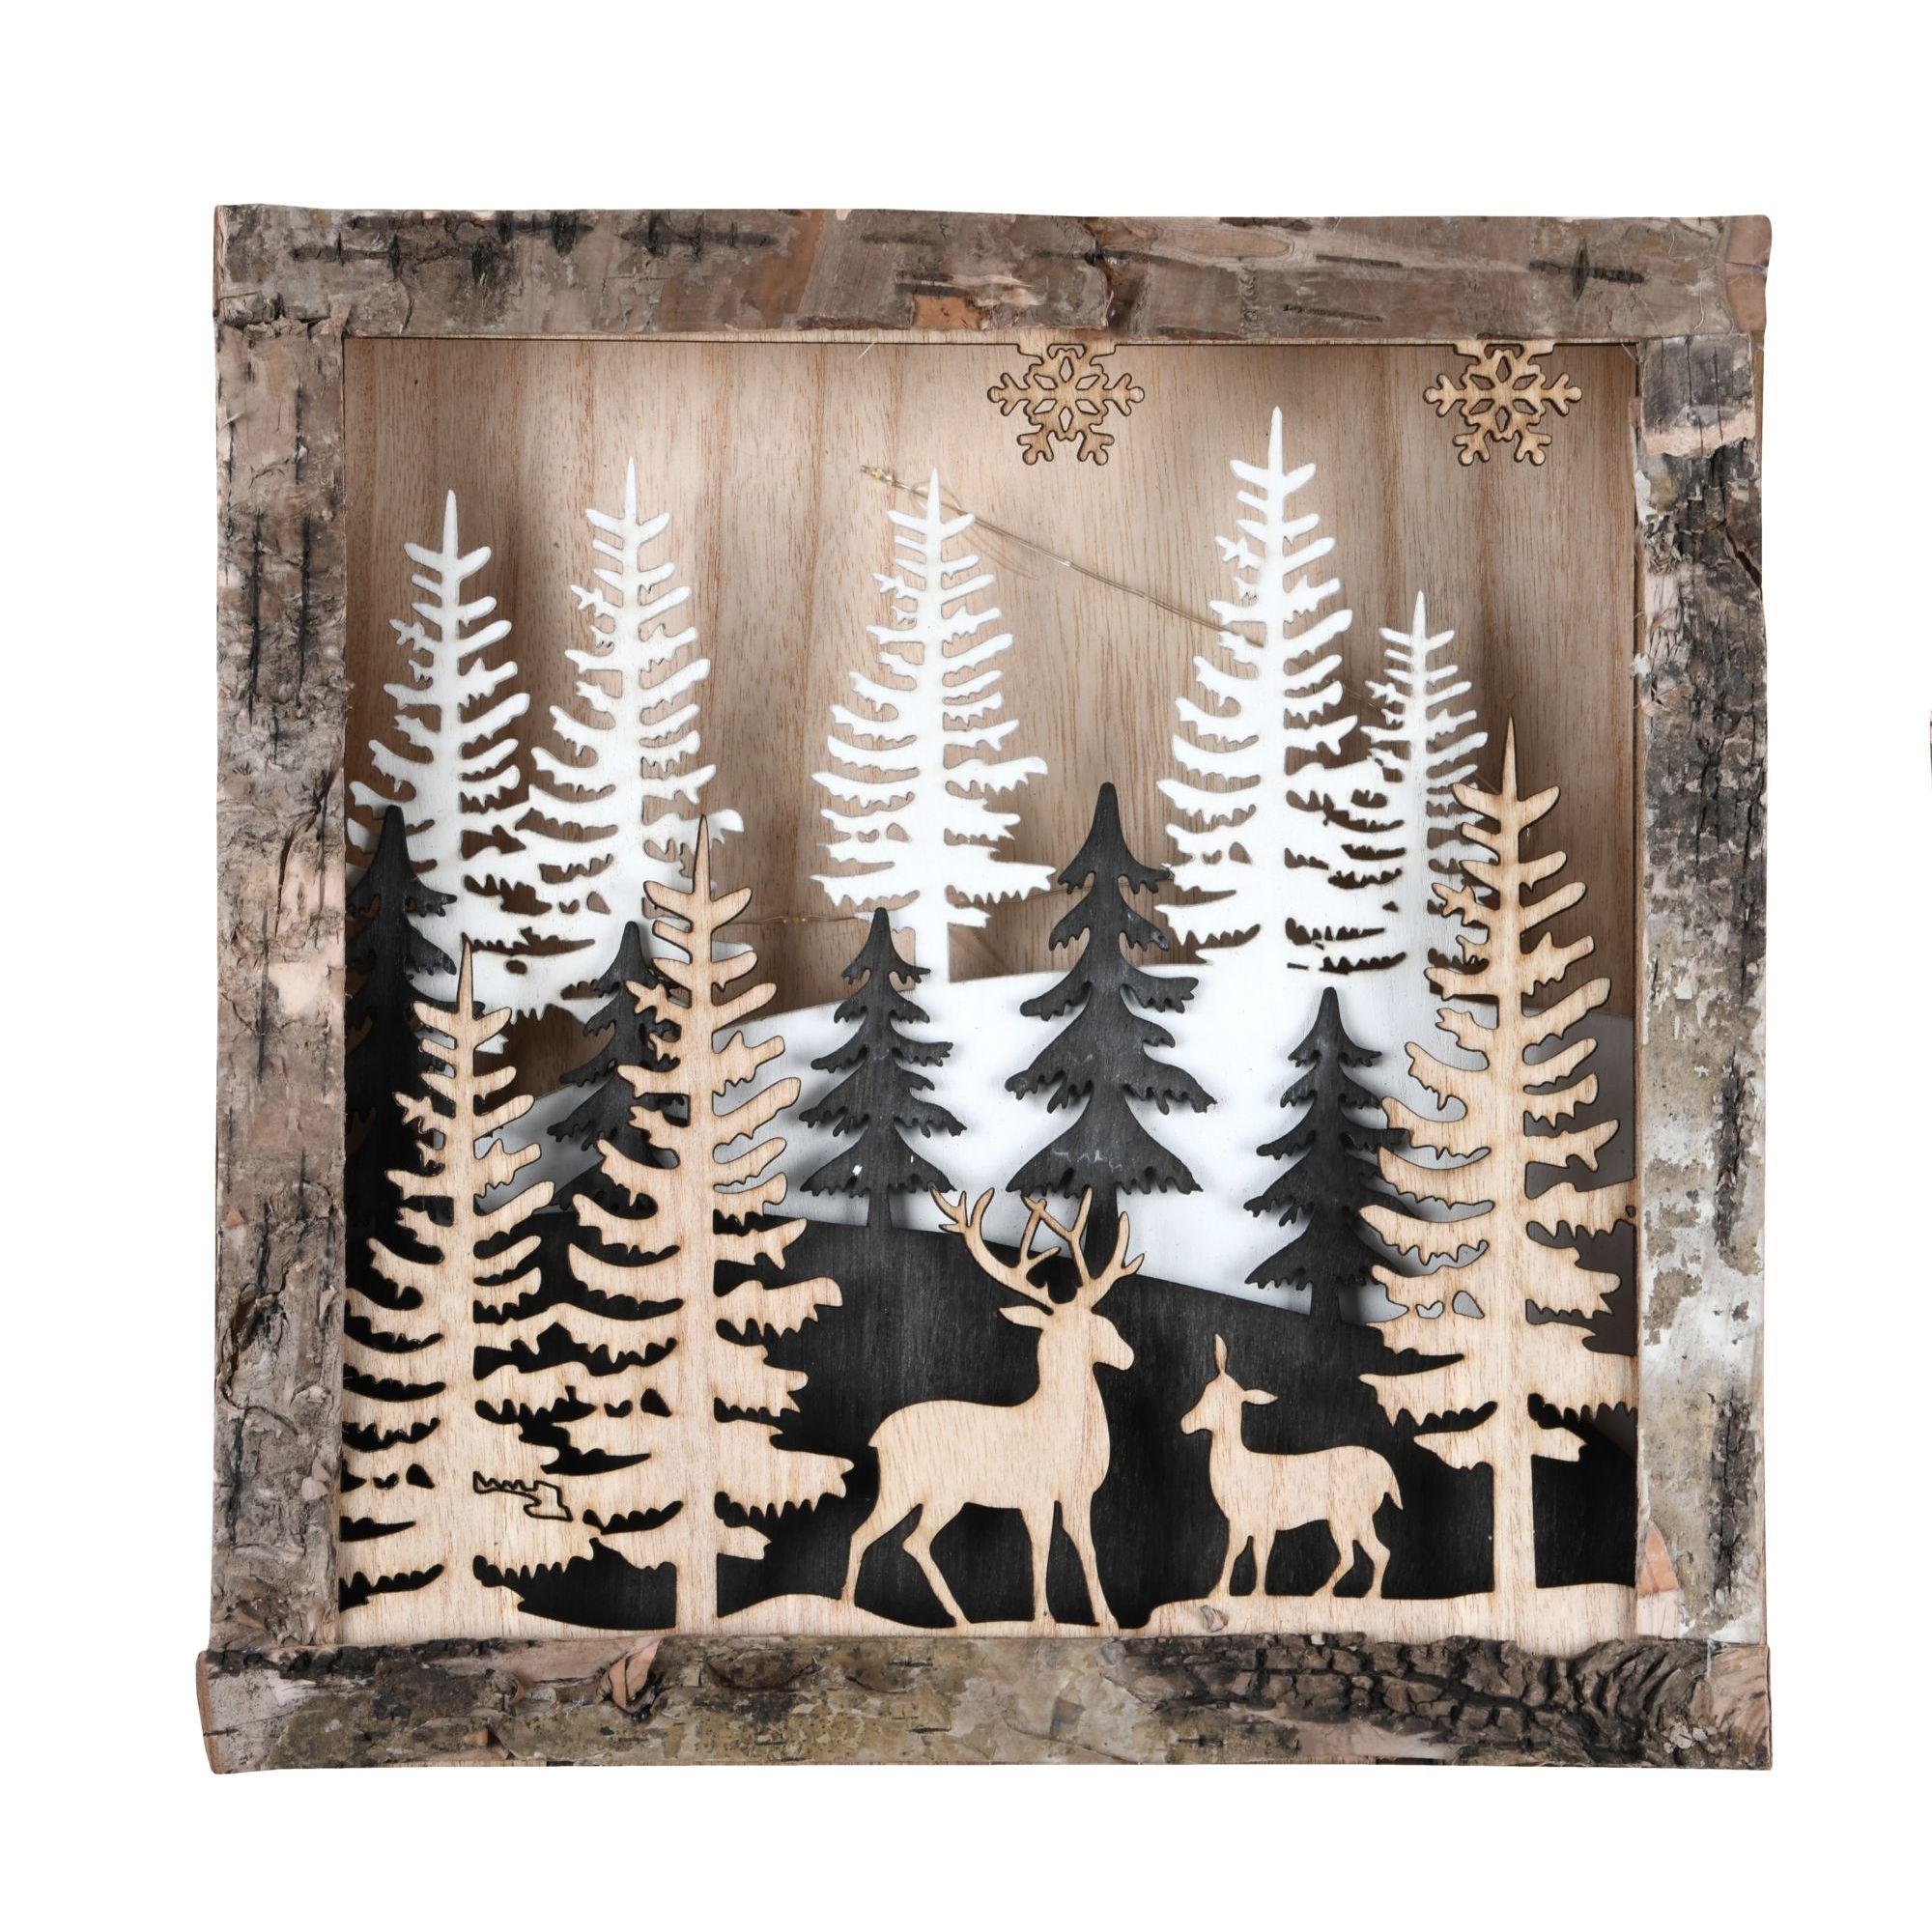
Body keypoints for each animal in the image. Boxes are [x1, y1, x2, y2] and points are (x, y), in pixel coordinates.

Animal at [838, 1188, 1138, 1627]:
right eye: (1094, 1326)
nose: (1128, 1355)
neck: (1059, 1421)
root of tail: (878, 1437)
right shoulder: (1035, 1493)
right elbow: (1041, 1549)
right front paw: (1043, 1618)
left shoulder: (1077, 1495)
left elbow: (1087, 1547)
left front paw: (1106, 1619)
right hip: (928, 1489)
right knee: (903, 1539)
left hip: (916, 1491)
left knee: (879, 1536)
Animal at [1181, 1336, 1402, 1599]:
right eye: (1205, 1391)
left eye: (1216, 1397)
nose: (1185, 1422)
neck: (1238, 1464)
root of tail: (1387, 1473)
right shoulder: (1240, 1522)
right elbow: (1235, 1553)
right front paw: (1220, 1592)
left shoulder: (1263, 1521)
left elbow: (1258, 1554)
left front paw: (1255, 1594)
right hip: (1354, 1517)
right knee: (1372, 1552)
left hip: (1349, 1514)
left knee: (1365, 1553)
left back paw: (1338, 1594)